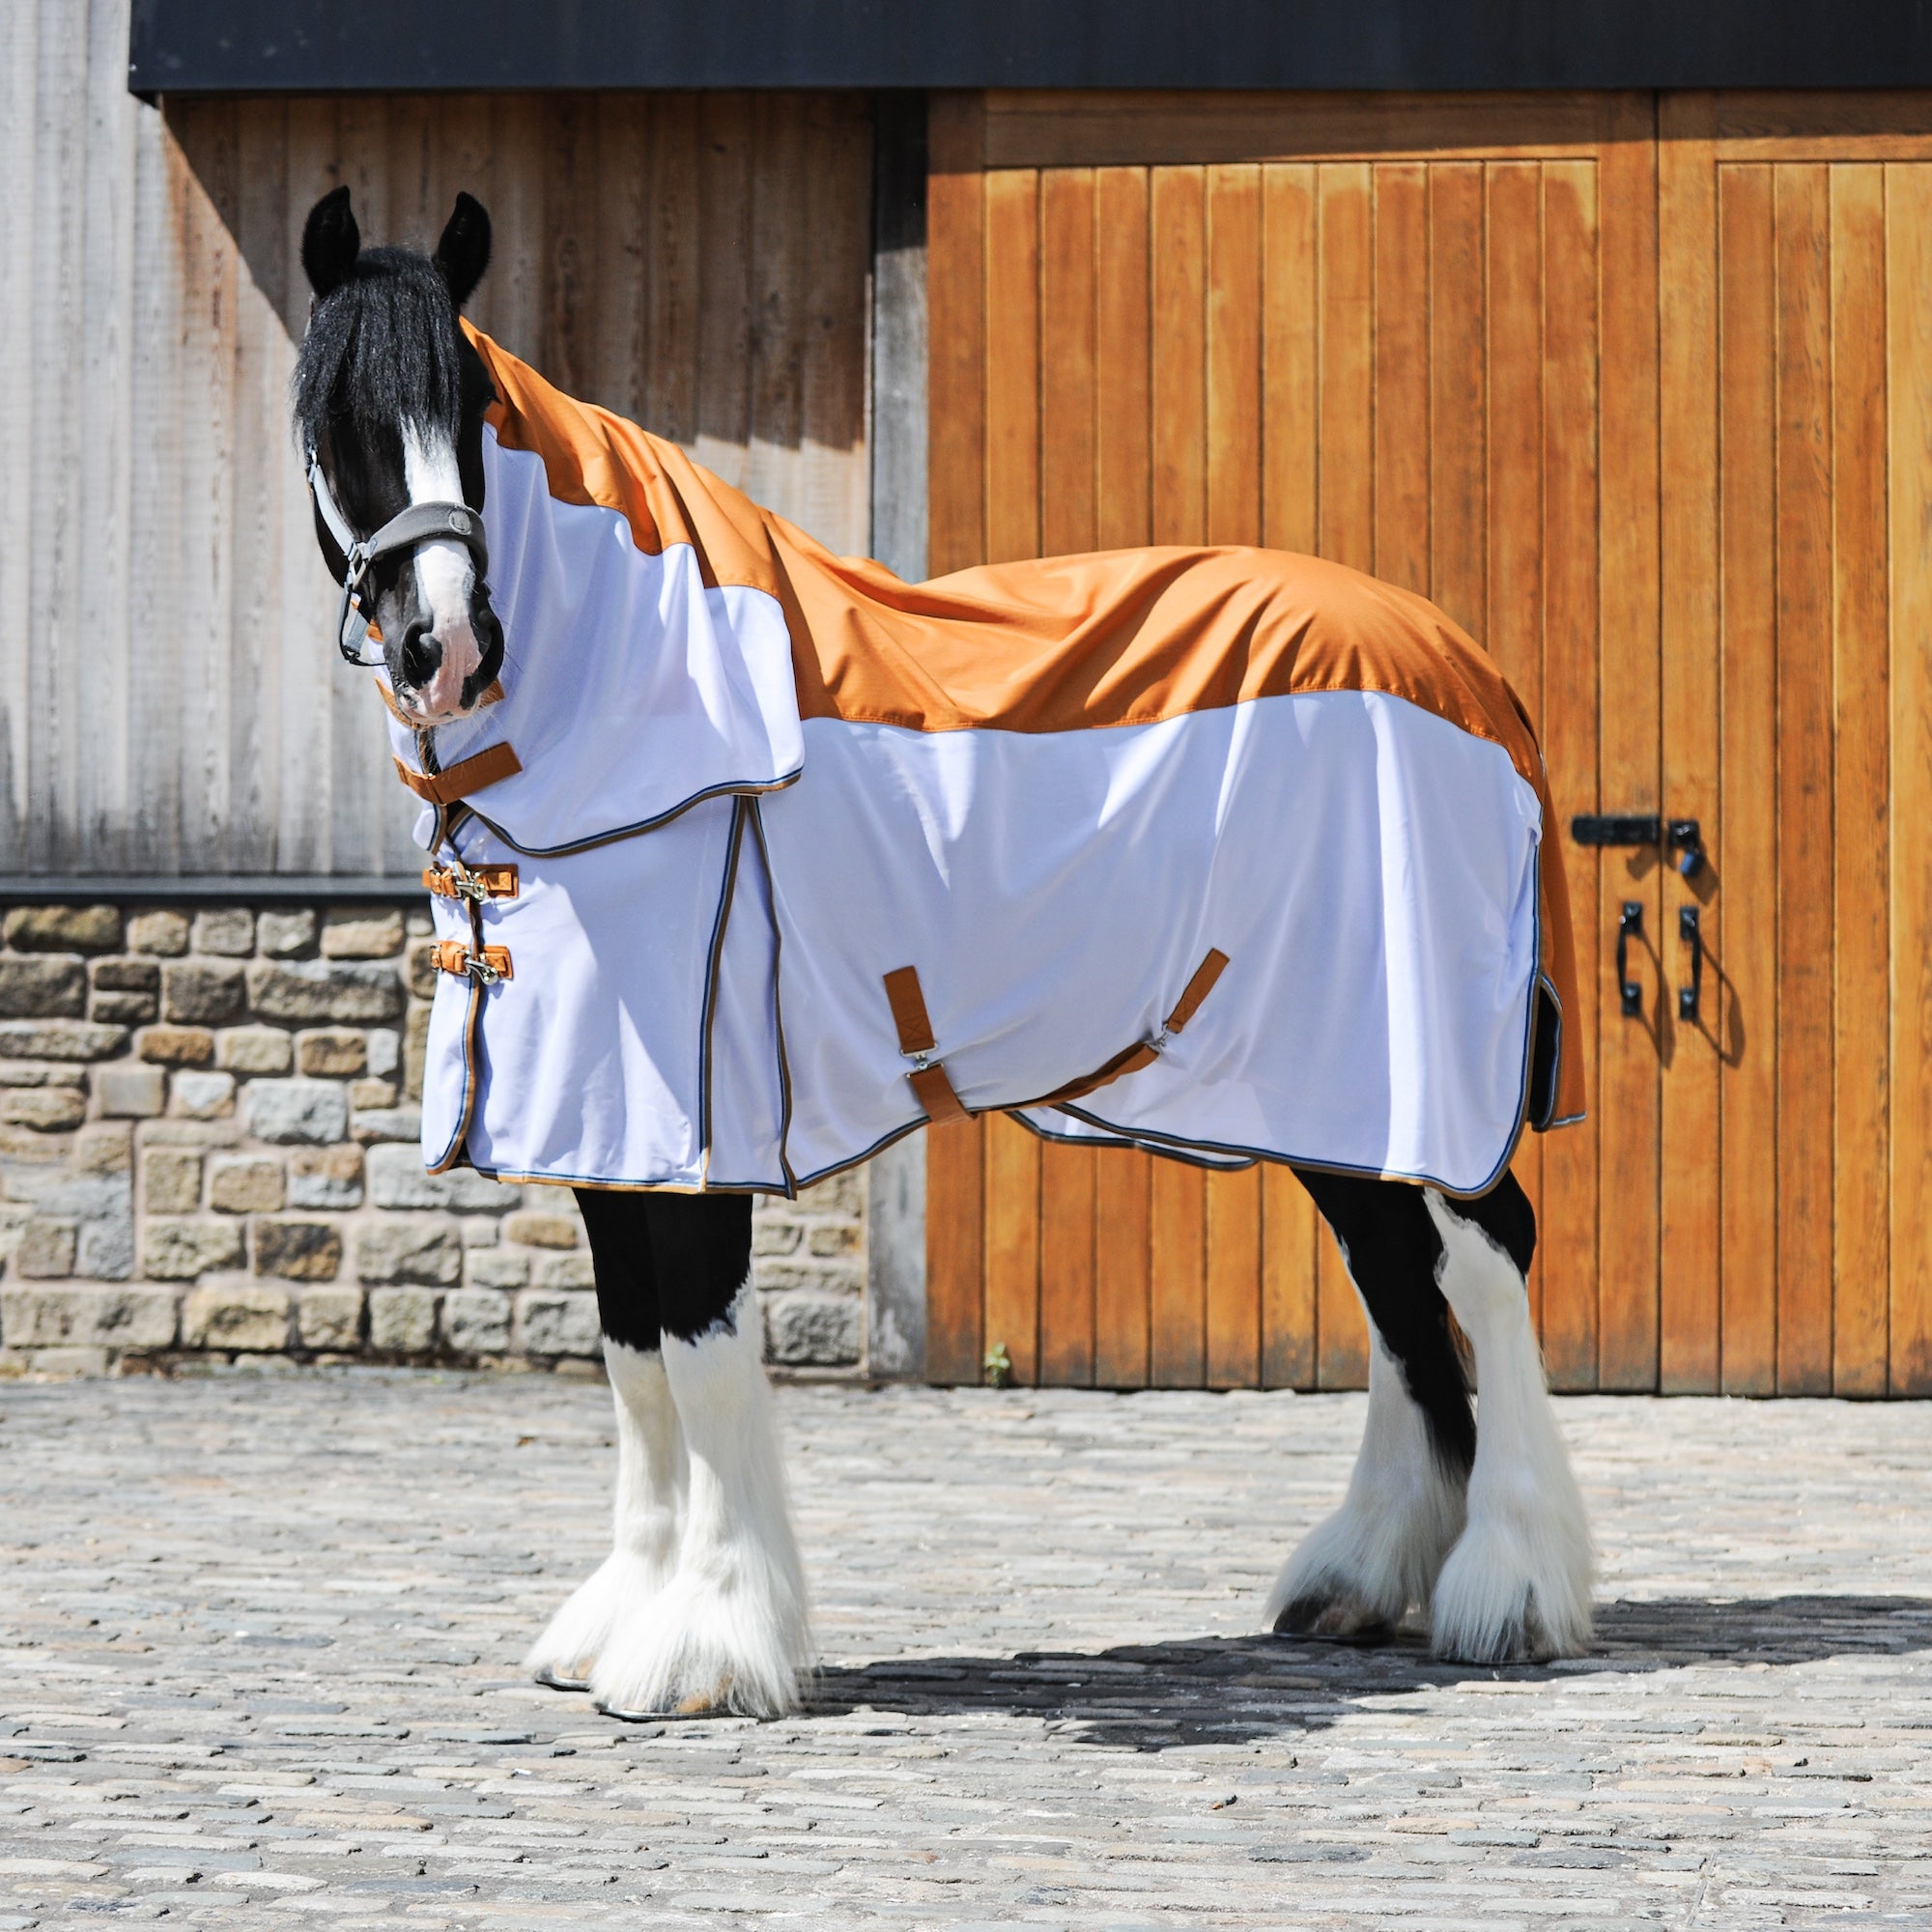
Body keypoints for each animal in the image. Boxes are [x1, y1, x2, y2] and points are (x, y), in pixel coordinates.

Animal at [291, 184, 1594, 1721]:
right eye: (335, 414)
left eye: (470, 407)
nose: (444, 645)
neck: (643, 700)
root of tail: (1464, 665)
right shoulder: (608, 1129)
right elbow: (632, 1358)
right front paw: (623, 1618)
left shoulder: (701, 1121)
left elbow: (699, 1346)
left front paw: (707, 1646)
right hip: (1335, 1080)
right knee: (1396, 1280)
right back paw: (1361, 1573)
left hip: (1416, 1060)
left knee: (1485, 1260)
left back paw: (1510, 1588)